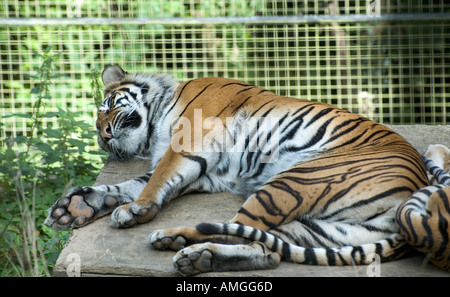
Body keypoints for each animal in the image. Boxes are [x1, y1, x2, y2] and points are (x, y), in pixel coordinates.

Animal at [44, 66, 448, 274]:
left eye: (107, 107)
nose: (102, 135)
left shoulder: (188, 144)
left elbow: (152, 182)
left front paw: (132, 210)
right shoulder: (203, 171)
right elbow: (129, 185)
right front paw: (76, 207)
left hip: (292, 182)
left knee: (247, 237)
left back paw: (176, 242)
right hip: (320, 229)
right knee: (267, 251)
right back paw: (193, 253)